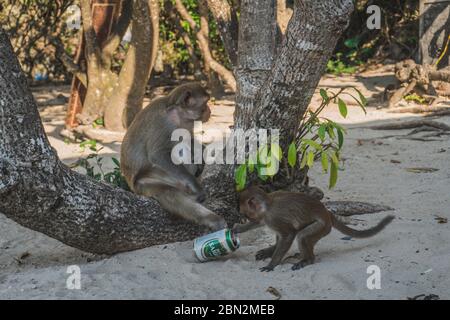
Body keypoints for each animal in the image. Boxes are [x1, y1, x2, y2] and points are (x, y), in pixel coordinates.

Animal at [121, 81, 227, 229]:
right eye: (205, 102)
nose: (209, 111)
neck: (178, 113)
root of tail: (133, 185)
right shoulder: (162, 121)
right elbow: (158, 154)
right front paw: (196, 186)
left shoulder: (189, 123)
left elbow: (190, 139)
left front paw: (202, 155)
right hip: (151, 179)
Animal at [236, 186, 394, 272]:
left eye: (246, 213)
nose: (245, 218)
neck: (267, 204)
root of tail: (326, 212)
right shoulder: (265, 217)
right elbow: (261, 224)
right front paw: (236, 230)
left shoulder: (273, 217)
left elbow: (289, 234)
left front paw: (272, 264)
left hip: (322, 226)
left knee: (302, 236)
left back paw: (308, 260)